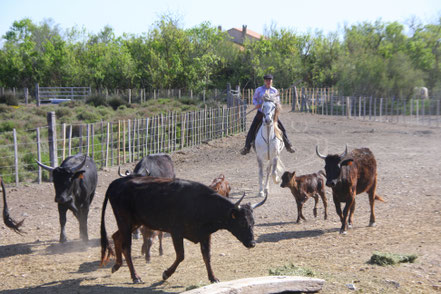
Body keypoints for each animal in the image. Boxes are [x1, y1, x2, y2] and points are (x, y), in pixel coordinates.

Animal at [100, 176, 264, 284]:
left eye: (253, 222)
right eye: (242, 222)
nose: (252, 243)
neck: (202, 204)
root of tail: (116, 182)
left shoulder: (205, 235)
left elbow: (207, 256)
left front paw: (213, 278)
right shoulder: (176, 232)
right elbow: (181, 255)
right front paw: (166, 274)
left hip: (134, 222)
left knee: (116, 237)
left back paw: (116, 265)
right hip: (125, 221)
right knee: (126, 246)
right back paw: (135, 277)